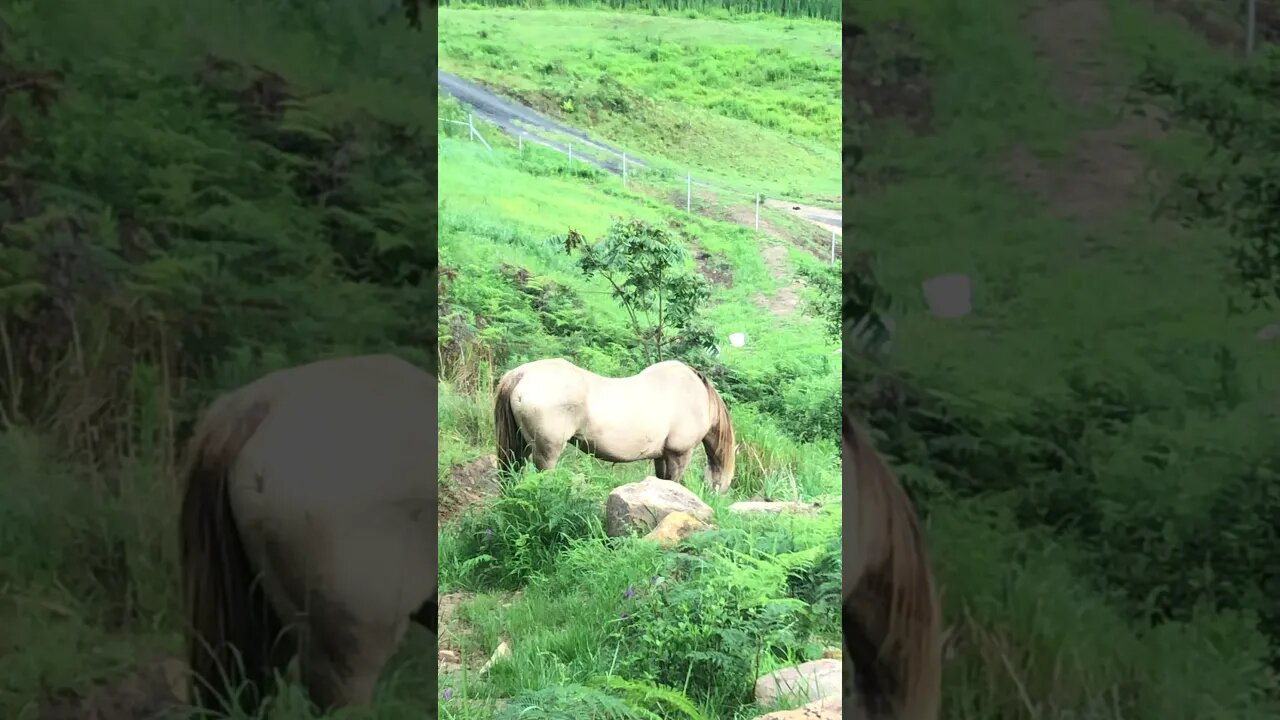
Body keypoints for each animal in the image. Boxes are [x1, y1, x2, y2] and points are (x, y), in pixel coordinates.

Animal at [491, 356, 737, 489]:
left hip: (520, 446)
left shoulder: (662, 456)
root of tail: (521, 374)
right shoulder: (679, 454)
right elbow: (673, 482)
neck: (698, 398)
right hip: (546, 452)